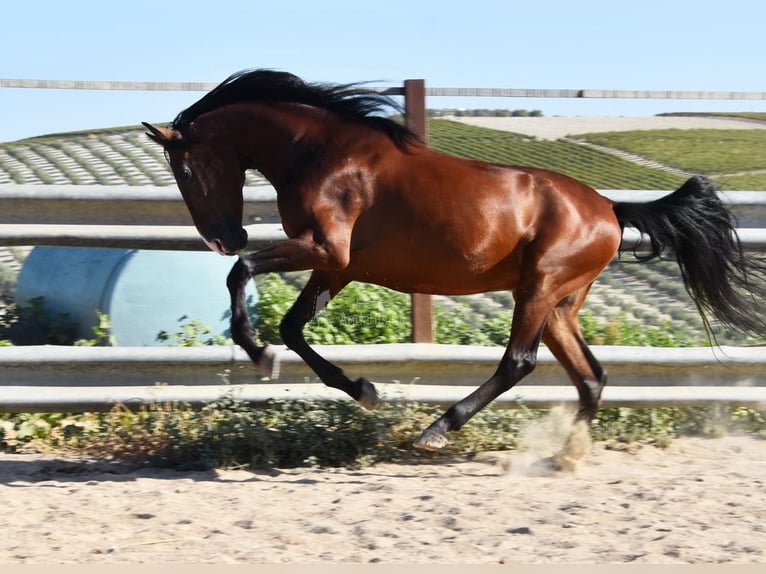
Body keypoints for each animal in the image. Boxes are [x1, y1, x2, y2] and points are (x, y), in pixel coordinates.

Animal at [144, 68, 766, 464]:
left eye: (185, 170)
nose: (225, 237)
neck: (322, 153)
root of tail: (610, 208)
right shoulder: (337, 268)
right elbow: (295, 327)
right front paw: (363, 388)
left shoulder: (325, 250)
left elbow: (243, 276)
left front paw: (258, 354)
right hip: (560, 303)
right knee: (591, 376)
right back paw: (564, 458)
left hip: (538, 289)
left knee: (519, 362)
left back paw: (437, 430)